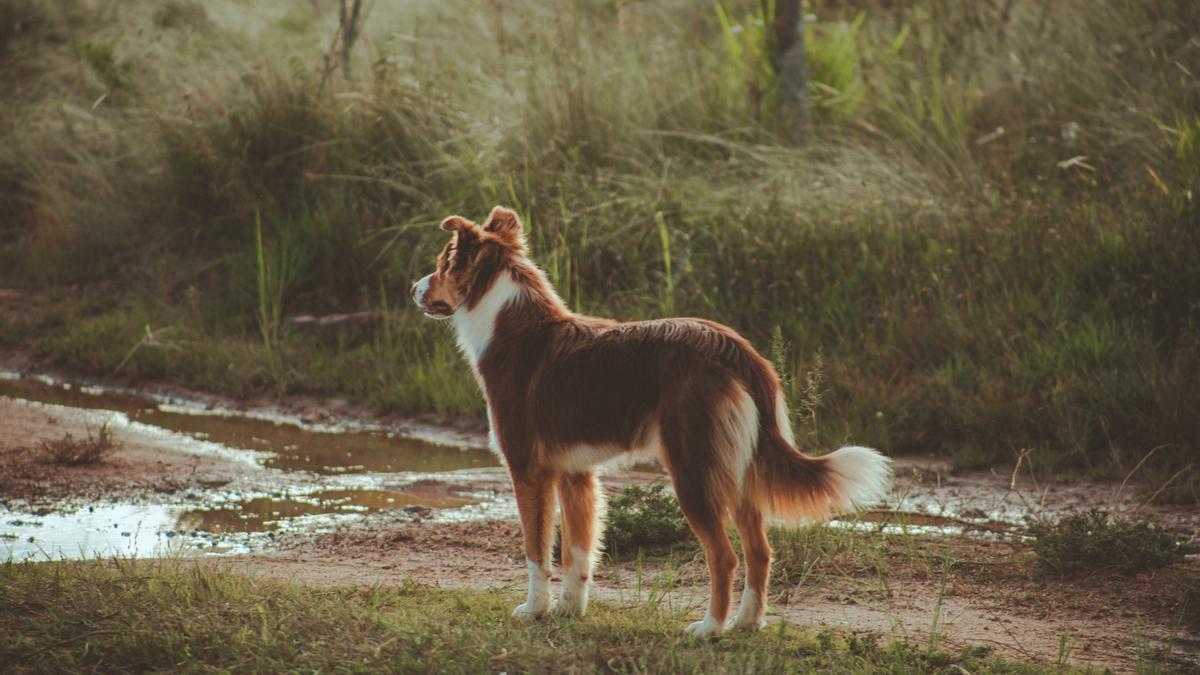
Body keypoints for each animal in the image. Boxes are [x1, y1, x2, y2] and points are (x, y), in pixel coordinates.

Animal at [412, 205, 892, 634]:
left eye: (440, 264)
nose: (414, 288)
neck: (509, 324)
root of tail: (734, 349)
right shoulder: (576, 475)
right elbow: (577, 553)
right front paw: (570, 610)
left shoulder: (529, 471)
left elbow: (537, 550)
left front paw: (535, 611)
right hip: (738, 469)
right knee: (760, 551)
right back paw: (746, 624)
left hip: (693, 471)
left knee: (725, 556)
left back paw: (710, 629)